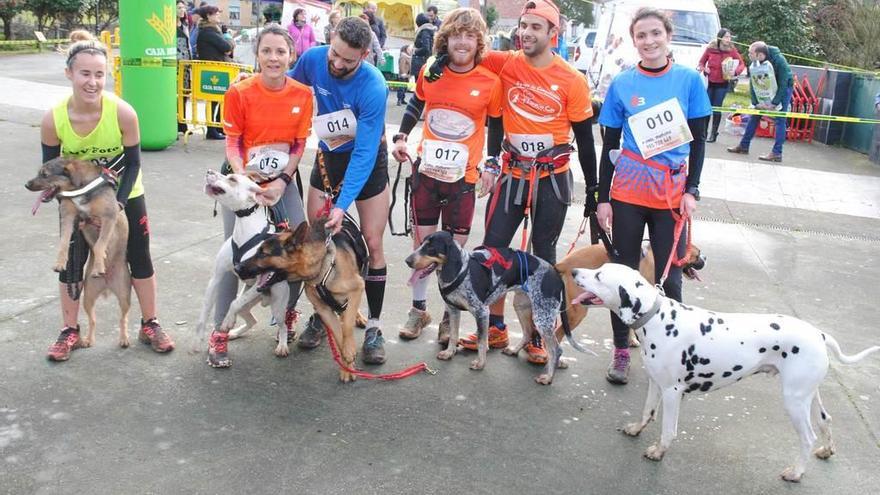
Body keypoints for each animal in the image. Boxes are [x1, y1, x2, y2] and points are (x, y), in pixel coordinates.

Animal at [24, 159, 131, 348]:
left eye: (45, 174)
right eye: (39, 173)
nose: (26, 185)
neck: (80, 188)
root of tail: (107, 285)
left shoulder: (108, 217)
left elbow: (99, 245)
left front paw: (99, 266)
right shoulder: (68, 217)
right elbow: (63, 243)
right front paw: (60, 262)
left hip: (125, 295)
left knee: (123, 318)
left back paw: (124, 338)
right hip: (87, 297)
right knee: (93, 319)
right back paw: (88, 340)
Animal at [235, 221, 366, 384]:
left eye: (263, 253)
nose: (236, 268)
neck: (321, 266)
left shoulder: (357, 287)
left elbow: (347, 327)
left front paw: (349, 354)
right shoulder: (325, 310)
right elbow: (339, 338)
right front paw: (347, 367)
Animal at [408, 231, 592, 386]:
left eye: (431, 248)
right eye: (421, 243)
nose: (408, 261)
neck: (461, 270)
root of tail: (556, 273)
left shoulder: (482, 312)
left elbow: (482, 342)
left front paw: (480, 363)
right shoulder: (453, 310)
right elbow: (453, 335)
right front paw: (449, 353)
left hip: (542, 317)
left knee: (556, 349)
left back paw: (548, 377)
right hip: (522, 307)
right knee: (527, 333)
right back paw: (514, 351)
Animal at [572, 266, 880, 482]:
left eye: (599, 274)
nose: (574, 271)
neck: (659, 318)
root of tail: (819, 333)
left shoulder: (672, 392)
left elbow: (668, 430)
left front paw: (659, 451)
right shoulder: (655, 383)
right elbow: (647, 412)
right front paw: (636, 429)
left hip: (794, 401)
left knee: (808, 437)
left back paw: (796, 472)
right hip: (808, 396)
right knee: (826, 422)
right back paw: (827, 451)